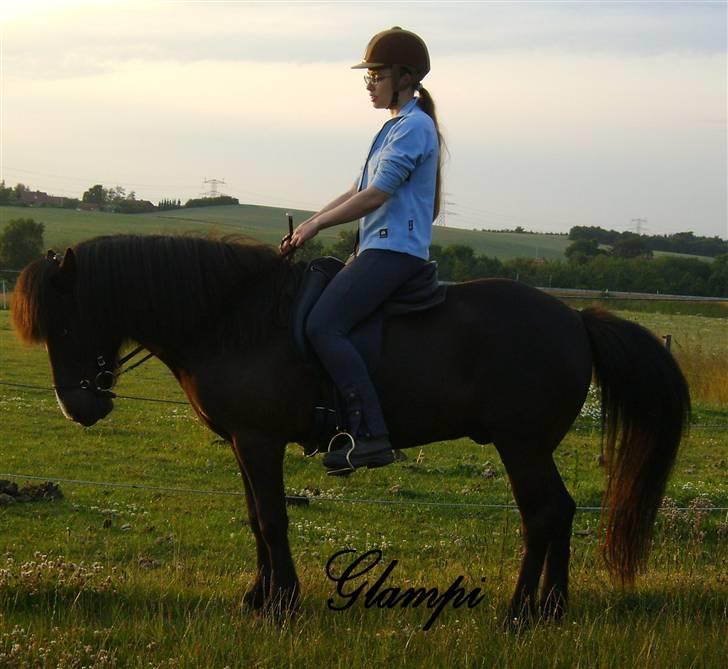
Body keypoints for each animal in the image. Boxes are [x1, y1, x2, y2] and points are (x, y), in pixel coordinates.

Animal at [14, 234, 692, 620]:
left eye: (66, 322)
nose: (77, 407)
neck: (231, 317)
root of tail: (576, 320)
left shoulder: (258, 440)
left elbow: (273, 519)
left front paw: (282, 605)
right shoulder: (243, 442)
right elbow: (256, 519)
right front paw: (258, 597)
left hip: (520, 446)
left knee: (543, 515)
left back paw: (521, 613)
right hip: (529, 447)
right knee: (562, 511)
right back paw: (552, 608)